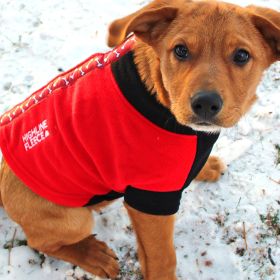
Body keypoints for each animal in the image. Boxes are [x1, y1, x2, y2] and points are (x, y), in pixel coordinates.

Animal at [0, 0, 278, 280]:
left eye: (241, 56)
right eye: (180, 50)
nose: (206, 103)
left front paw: (206, 167)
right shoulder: (150, 201)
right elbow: (162, 257)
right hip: (73, 219)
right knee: (41, 242)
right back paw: (92, 255)